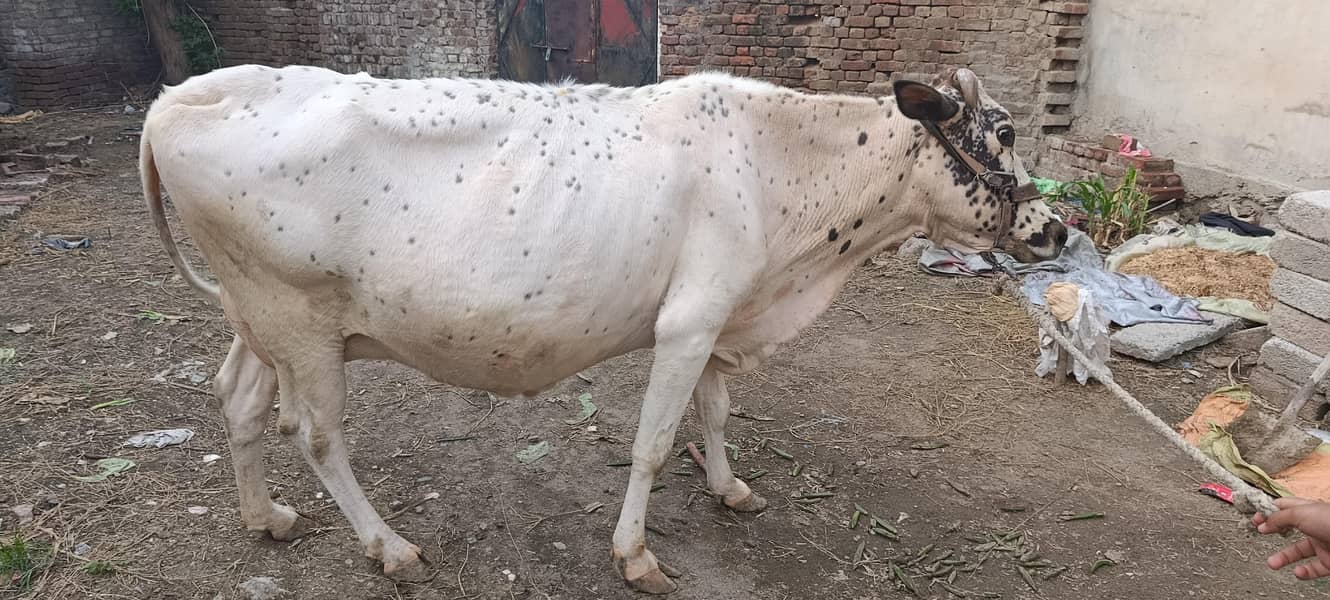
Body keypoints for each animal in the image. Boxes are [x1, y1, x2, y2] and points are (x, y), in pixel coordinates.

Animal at [140, 64, 1066, 593]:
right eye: (1006, 131)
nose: (1057, 229)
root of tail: (181, 95)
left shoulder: (720, 314)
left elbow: (715, 412)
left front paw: (729, 487)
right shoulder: (689, 323)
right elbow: (653, 445)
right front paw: (636, 556)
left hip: (261, 319)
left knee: (238, 401)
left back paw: (265, 517)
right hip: (296, 320)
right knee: (317, 434)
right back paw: (390, 547)